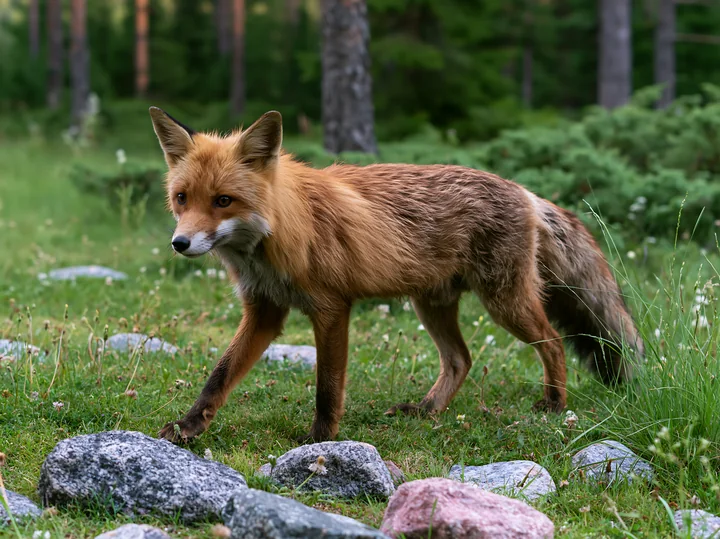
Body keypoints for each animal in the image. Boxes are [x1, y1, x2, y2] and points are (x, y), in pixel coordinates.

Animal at [149, 107, 644, 444]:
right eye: (182, 198)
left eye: (223, 201)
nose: (179, 243)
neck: (278, 236)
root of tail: (525, 191)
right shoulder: (264, 311)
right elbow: (219, 375)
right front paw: (190, 426)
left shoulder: (332, 308)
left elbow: (328, 387)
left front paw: (320, 440)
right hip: (432, 304)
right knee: (461, 359)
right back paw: (427, 410)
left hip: (505, 303)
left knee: (553, 343)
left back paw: (555, 404)